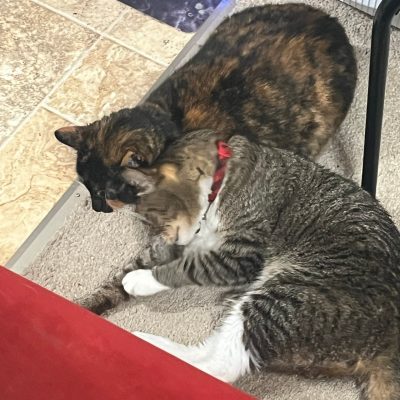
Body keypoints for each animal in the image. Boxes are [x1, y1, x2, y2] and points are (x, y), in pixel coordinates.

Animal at [83, 129, 398, 400]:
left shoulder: (242, 253)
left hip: (284, 301)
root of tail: (389, 338)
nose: (169, 239)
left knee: (217, 367)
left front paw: (142, 279)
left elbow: (187, 268)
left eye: (155, 216)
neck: (221, 180)